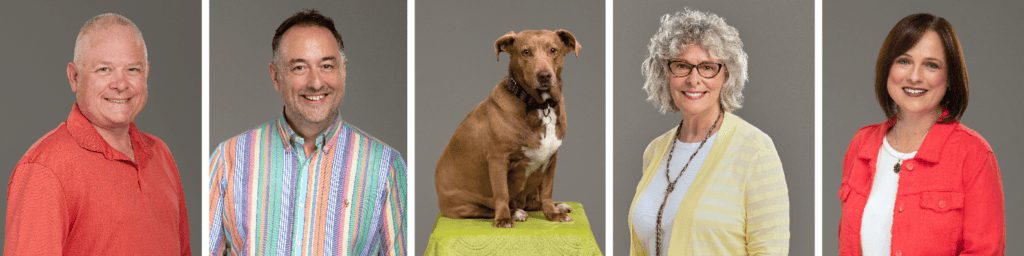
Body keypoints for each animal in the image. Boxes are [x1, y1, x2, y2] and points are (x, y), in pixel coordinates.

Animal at [434, 29, 585, 228]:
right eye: (525, 52)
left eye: (553, 50)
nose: (544, 75)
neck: (540, 106)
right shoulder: (498, 160)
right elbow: (501, 193)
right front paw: (504, 218)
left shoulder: (551, 161)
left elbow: (547, 191)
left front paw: (552, 214)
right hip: (464, 205)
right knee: (487, 209)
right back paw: (515, 213)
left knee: (533, 202)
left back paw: (557, 206)